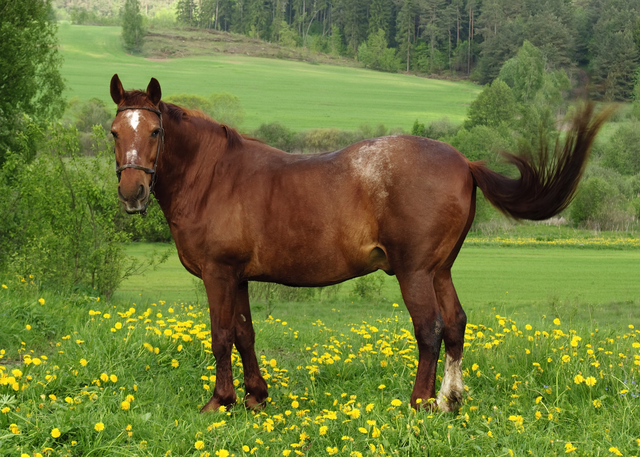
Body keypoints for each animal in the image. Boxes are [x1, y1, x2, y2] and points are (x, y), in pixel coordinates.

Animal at [109, 74, 609, 413]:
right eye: (115, 132)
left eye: (154, 131)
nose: (133, 193)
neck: (215, 176)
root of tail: (464, 161)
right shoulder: (241, 277)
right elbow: (246, 334)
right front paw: (255, 398)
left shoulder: (218, 274)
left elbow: (221, 336)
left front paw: (220, 401)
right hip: (440, 270)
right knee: (455, 325)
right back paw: (449, 400)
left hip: (414, 272)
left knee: (430, 328)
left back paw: (420, 402)